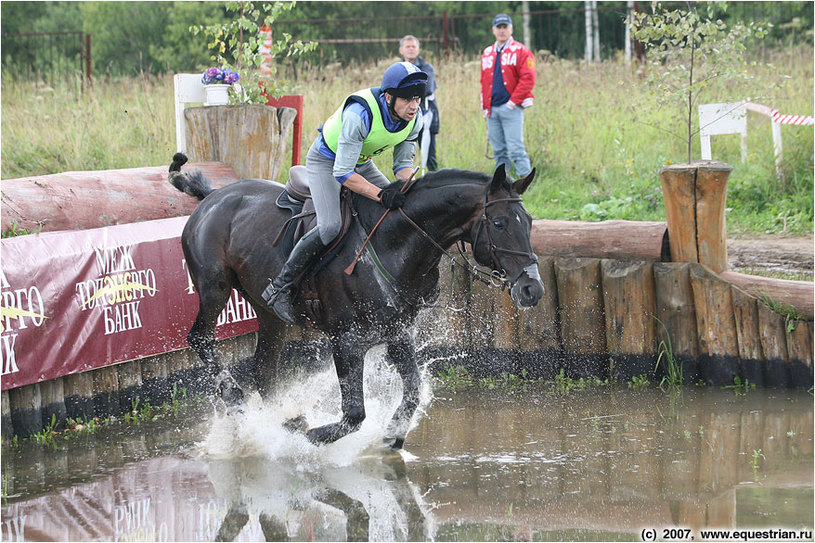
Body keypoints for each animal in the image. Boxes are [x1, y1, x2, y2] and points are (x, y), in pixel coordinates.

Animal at [169, 154, 544, 450]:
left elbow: (412, 391)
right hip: (214, 286)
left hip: (267, 311)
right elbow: (354, 414)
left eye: (528, 222)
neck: (393, 243)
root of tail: (214, 195)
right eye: (499, 223)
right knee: (201, 338)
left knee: (263, 367)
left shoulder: (397, 334)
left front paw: (393, 433)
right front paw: (311, 437)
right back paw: (237, 401)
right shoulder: (346, 341)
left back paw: (283, 420)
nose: (532, 289)